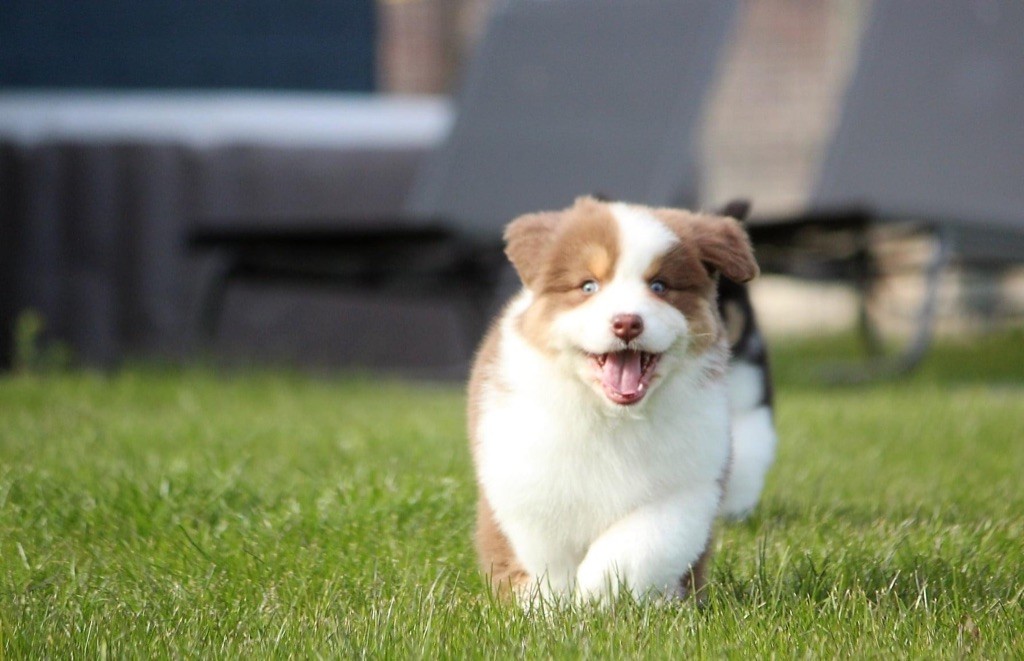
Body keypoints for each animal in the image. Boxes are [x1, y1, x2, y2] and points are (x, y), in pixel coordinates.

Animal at [468, 196, 760, 604]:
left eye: (659, 286)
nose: (627, 323)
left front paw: (597, 599)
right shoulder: (527, 475)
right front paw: (549, 608)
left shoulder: (688, 486)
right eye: (589, 286)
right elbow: (547, 555)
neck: (611, 416)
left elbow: (634, 546)